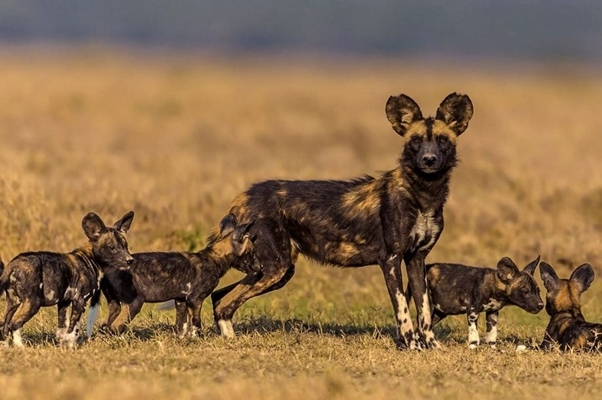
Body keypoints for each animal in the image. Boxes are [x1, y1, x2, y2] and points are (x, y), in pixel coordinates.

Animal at [86, 214, 253, 336]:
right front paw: (196, 339)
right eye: (251, 252)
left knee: (105, 325)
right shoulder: (195, 299)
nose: (258, 268)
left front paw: (181, 340)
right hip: (135, 303)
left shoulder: (181, 300)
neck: (213, 258)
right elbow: (196, 324)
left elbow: (181, 325)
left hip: (115, 305)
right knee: (115, 327)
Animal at [211, 92, 474, 348]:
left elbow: (424, 309)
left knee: (218, 297)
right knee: (225, 303)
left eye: (442, 140)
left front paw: (432, 345)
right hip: (276, 268)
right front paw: (411, 345)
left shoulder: (416, 259)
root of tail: (244, 196)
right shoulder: (390, 260)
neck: (423, 194)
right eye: (416, 141)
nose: (429, 160)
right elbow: (403, 309)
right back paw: (230, 342)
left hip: (272, 271)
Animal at [412, 256, 544, 346]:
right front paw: (473, 349)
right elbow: (474, 337)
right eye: (525, 291)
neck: (494, 285)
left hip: (438, 314)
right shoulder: (472, 312)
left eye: (538, 291)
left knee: (419, 331)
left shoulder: (492, 313)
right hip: (428, 309)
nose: (541, 305)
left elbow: (491, 336)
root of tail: (427, 267)